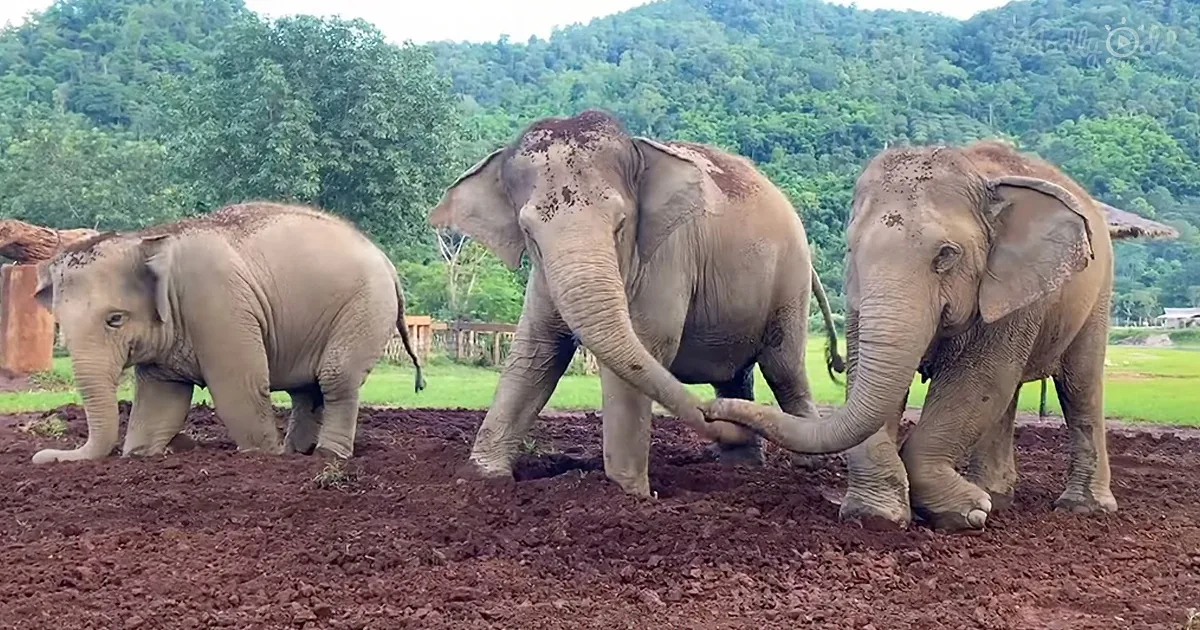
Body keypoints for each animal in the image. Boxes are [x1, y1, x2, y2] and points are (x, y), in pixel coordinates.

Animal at [30, 201, 426, 464]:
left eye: (115, 319)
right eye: (60, 323)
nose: (42, 456)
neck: (151, 239)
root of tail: (387, 262)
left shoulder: (219, 306)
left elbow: (241, 389)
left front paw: (262, 457)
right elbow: (161, 402)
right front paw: (139, 455)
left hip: (366, 308)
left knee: (336, 379)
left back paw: (328, 456)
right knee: (306, 390)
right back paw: (296, 453)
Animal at [428, 109, 844, 497]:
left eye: (620, 224)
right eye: (528, 232)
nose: (710, 416)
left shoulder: (665, 258)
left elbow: (640, 352)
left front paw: (631, 494)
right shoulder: (543, 281)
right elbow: (536, 353)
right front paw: (482, 477)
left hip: (789, 280)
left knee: (784, 368)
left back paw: (804, 464)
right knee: (734, 376)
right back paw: (739, 463)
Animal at [702, 140, 1179, 530]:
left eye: (946, 256)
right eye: (851, 250)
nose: (710, 410)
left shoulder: (1014, 291)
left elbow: (975, 380)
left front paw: (967, 514)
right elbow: (876, 379)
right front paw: (877, 517)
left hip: (1097, 292)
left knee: (1079, 385)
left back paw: (1080, 509)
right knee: (1006, 399)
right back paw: (998, 496)